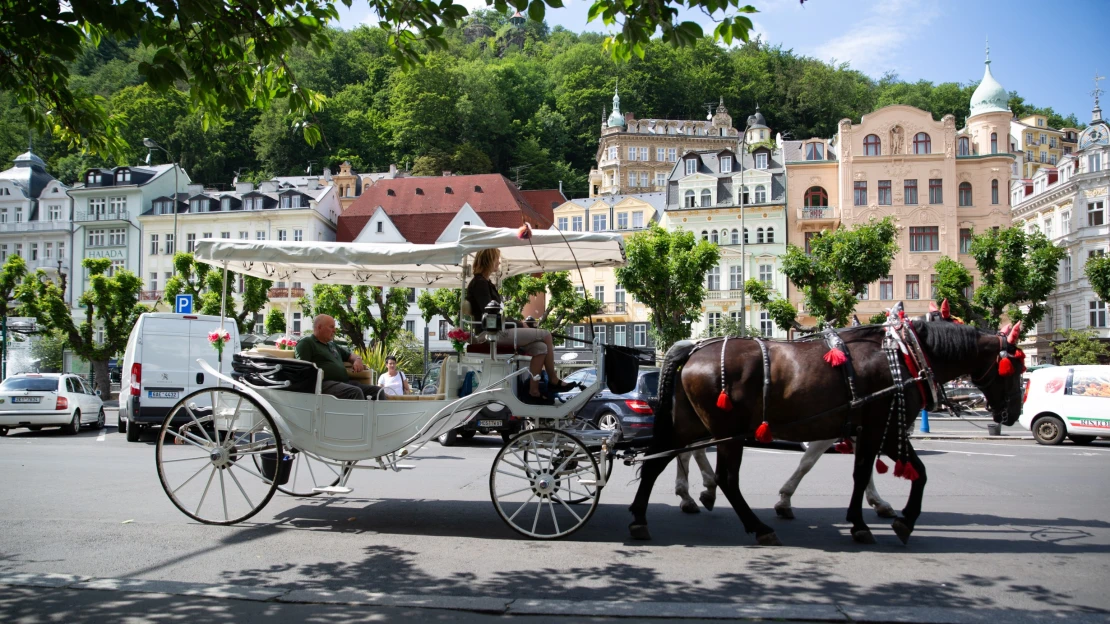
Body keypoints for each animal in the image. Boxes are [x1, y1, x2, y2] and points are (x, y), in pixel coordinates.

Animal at [630, 317, 1025, 541]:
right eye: (1016, 368)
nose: (1012, 414)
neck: (903, 355)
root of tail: (693, 349)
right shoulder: (880, 426)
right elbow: (876, 471)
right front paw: (873, 521)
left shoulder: (867, 428)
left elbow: (891, 471)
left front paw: (891, 516)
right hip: (728, 431)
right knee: (724, 477)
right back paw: (754, 525)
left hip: (689, 422)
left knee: (658, 461)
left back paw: (643, 516)